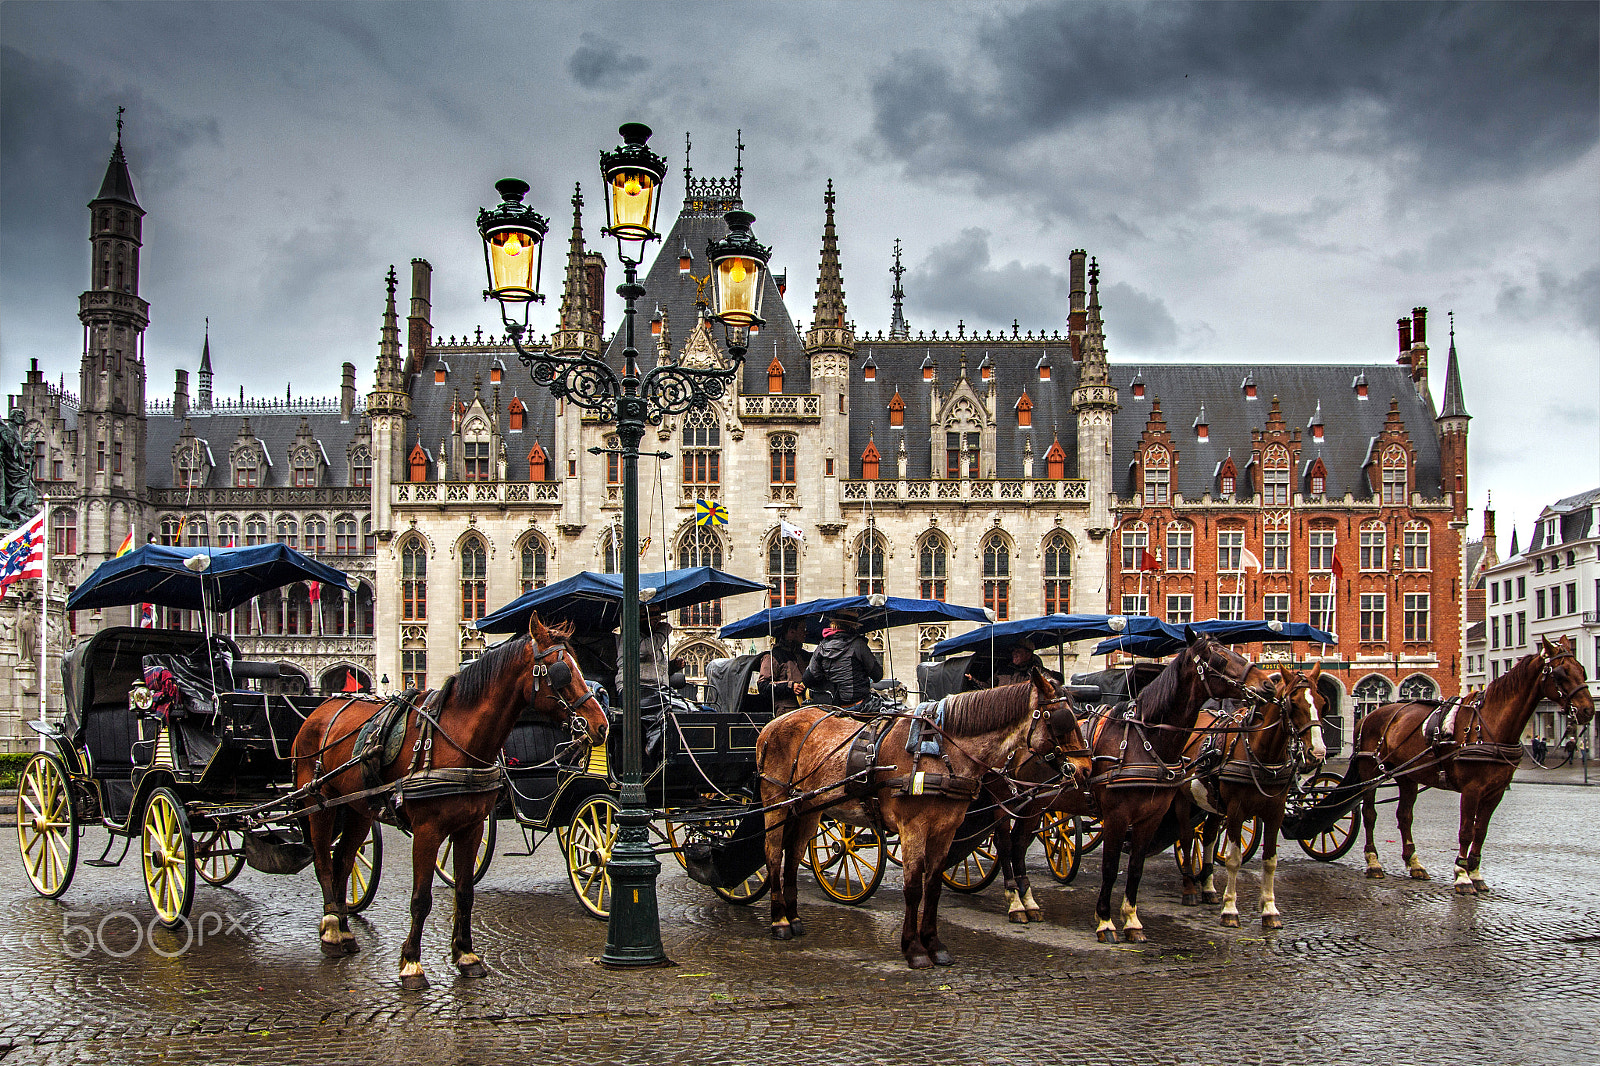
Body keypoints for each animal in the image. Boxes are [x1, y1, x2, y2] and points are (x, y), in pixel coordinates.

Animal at [291, 614, 608, 985]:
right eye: (562, 671)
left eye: (579, 666)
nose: (602, 725)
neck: (455, 736)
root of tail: (321, 708)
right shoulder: (427, 830)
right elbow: (420, 898)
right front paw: (411, 964)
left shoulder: (470, 826)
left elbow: (465, 893)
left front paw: (466, 955)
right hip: (321, 802)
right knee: (323, 861)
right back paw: (330, 931)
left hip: (358, 808)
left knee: (343, 858)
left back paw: (344, 930)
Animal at [755, 669, 1094, 966]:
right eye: (1060, 719)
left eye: (1077, 714)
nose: (1086, 769)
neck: (940, 752)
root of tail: (773, 724)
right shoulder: (913, 827)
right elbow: (913, 887)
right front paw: (914, 949)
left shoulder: (946, 829)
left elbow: (933, 885)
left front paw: (935, 945)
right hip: (776, 801)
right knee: (772, 852)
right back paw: (779, 921)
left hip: (809, 807)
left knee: (792, 854)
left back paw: (794, 917)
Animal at [1075, 627, 1273, 941]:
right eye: (1219, 657)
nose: (1268, 684)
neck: (1143, 741)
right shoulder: (1117, 817)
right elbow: (1110, 867)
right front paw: (1105, 921)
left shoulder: (1151, 817)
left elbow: (1136, 867)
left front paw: (1132, 920)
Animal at [1171, 659, 1331, 928]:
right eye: (1293, 703)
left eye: (1322, 703)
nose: (1317, 753)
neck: (1262, 754)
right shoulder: (1236, 810)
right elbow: (1234, 859)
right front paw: (1230, 910)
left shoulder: (1275, 812)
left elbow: (1270, 860)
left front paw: (1270, 910)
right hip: (1183, 800)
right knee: (1186, 838)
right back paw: (1190, 889)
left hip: (1213, 804)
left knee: (1209, 838)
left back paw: (1208, 888)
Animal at [1350, 630, 1587, 889]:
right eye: (1561, 673)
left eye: (1582, 669)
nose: (1588, 710)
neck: (1490, 725)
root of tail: (1369, 714)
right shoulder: (1472, 789)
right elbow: (1465, 831)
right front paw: (1462, 876)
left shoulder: (1496, 791)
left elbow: (1480, 831)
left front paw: (1475, 874)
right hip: (1370, 773)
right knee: (1369, 814)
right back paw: (1374, 863)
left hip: (1407, 776)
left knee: (1404, 816)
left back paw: (1415, 864)